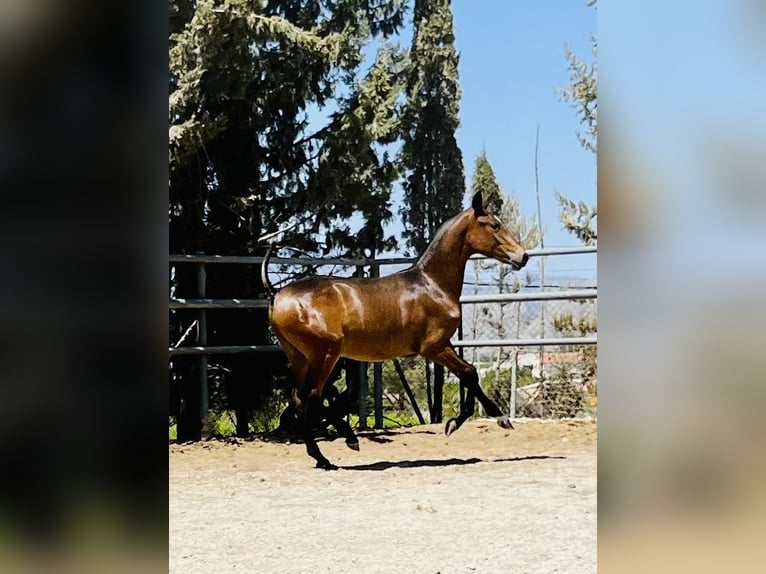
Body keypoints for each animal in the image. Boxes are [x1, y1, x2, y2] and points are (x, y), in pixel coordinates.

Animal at [262, 191, 528, 470]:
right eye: (494, 225)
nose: (522, 256)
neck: (432, 284)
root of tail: (277, 293)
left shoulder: (445, 344)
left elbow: (469, 373)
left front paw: (457, 422)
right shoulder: (433, 348)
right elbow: (469, 373)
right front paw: (496, 419)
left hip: (300, 357)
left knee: (300, 398)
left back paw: (338, 445)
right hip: (325, 355)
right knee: (311, 397)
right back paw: (329, 453)